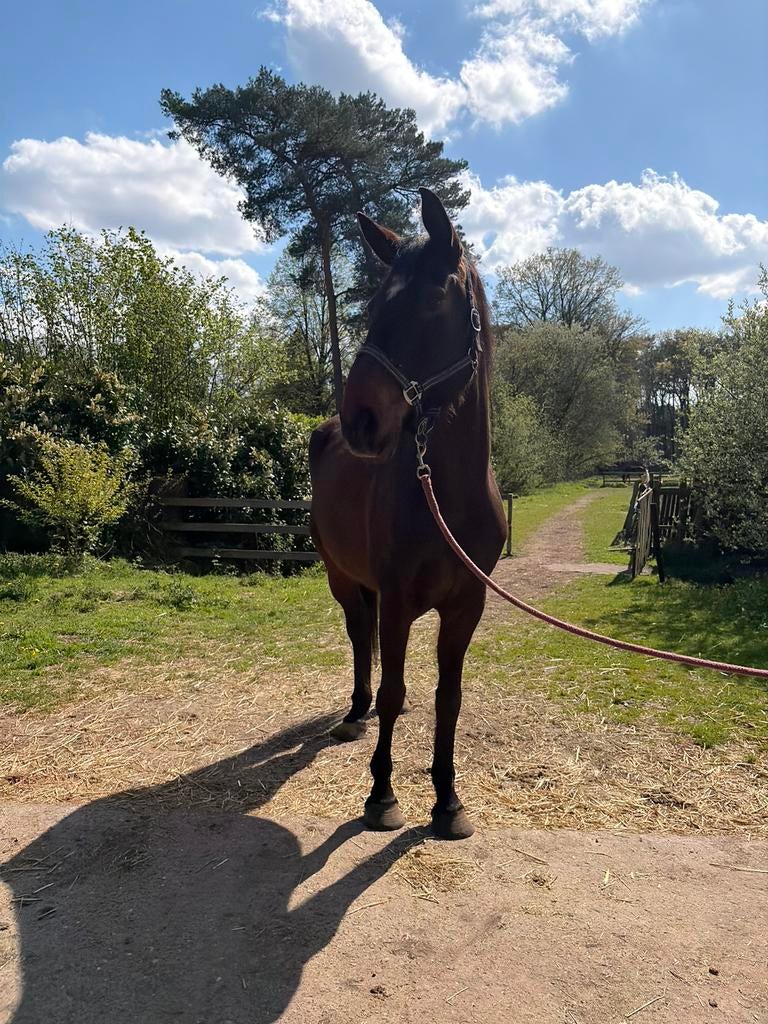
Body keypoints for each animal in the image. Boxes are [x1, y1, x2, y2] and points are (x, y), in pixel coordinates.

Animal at [309, 187, 507, 840]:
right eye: (373, 305)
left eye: (429, 302)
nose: (361, 420)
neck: (446, 496)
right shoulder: (395, 598)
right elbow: (395, 690)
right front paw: (381, 794)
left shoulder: (467, 605)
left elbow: (450, 698)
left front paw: (447, 800)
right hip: (341, 577)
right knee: (357, 633)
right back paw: (355, 711)